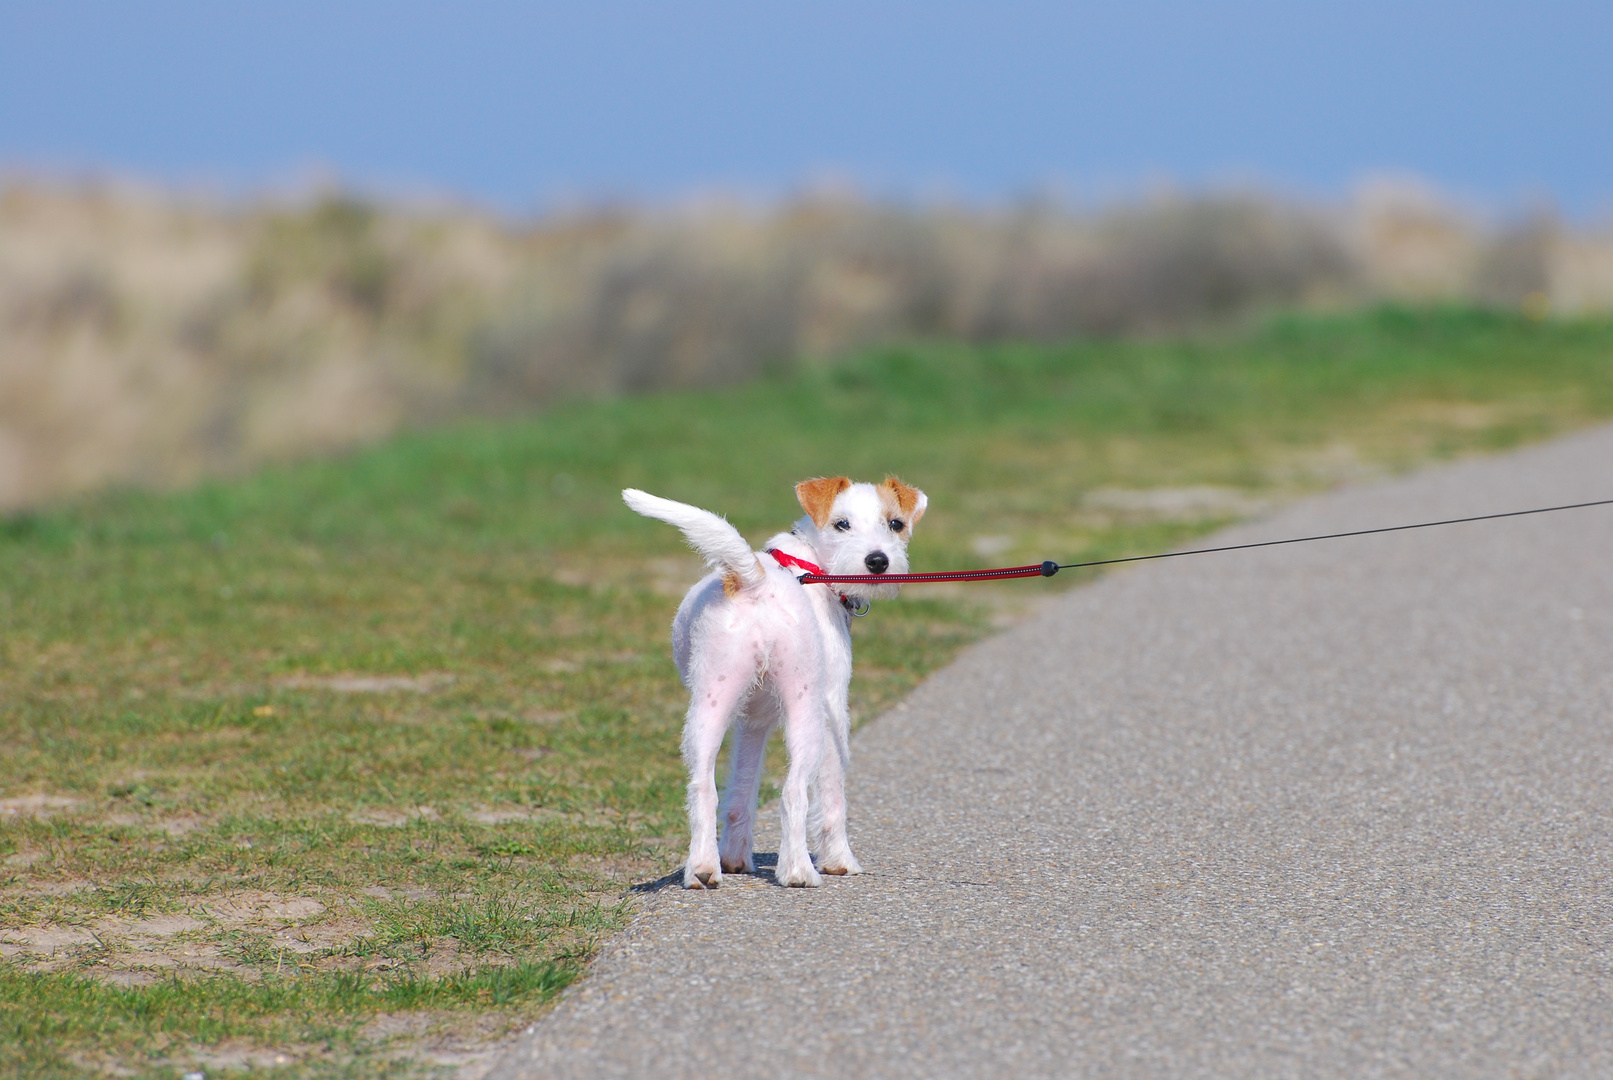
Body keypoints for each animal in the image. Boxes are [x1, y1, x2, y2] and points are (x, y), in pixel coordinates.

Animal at [619, 477, 929, 889]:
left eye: (896, 524)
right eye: (841, 524)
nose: (877, 561)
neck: (810, 563)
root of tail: (756, 581)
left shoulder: (753, 721)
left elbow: (741, 791)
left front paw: (734, 857)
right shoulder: (833, 708)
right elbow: (832, 795)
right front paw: (839, 860)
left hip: (709, 706)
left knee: (703, 787)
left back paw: (704, 867)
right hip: (806, 713)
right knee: (794, 791)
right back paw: (798, 870)